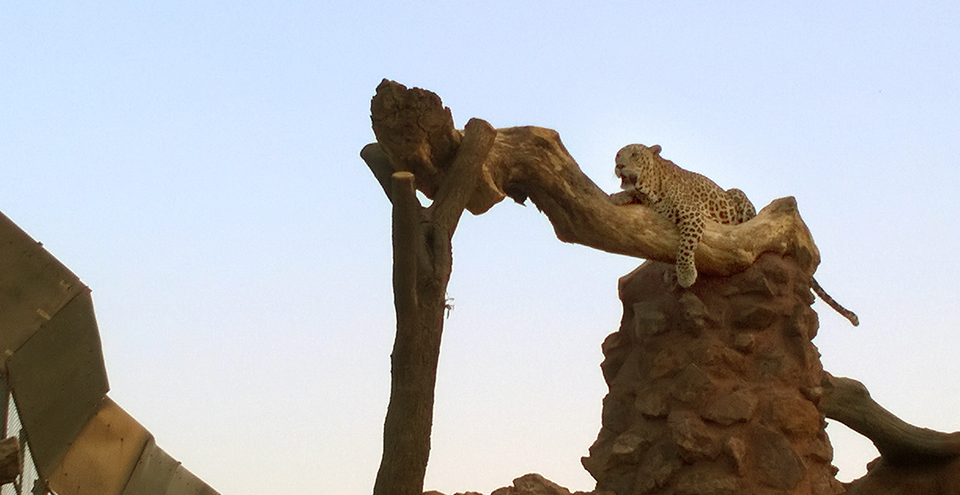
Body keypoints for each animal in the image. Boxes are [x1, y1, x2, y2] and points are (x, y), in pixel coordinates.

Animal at [612, 143, 859, 326]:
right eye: (617, 156)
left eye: (635, 154)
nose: (618, 166)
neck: (651, 187)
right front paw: (618, 197)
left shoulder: (693, 215)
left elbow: (685, 246)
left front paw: (685, 274)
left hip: (738, 195)